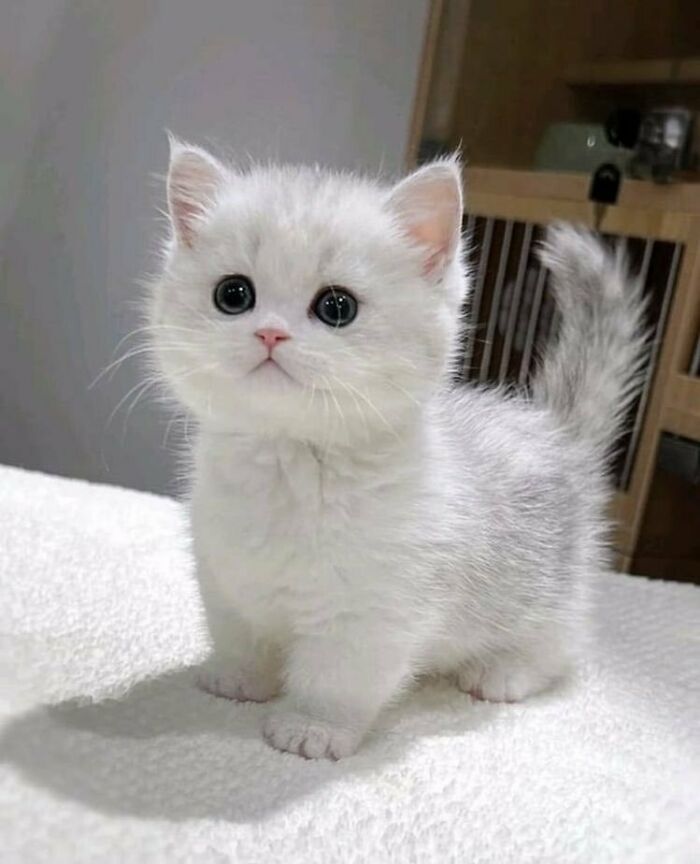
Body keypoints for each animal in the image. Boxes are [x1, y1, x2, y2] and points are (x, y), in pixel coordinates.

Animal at [148, 138, 644, 760]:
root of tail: (554, 428)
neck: (290, 469)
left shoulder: (375, 608)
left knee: (561, 640)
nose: (270, 333)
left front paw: (313, 727)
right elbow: (240, 632)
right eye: (233, 294)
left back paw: (504, 671)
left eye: (337, 306)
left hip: (551, 584)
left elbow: (340, 675)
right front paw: (239, 679)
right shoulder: (222, 573)